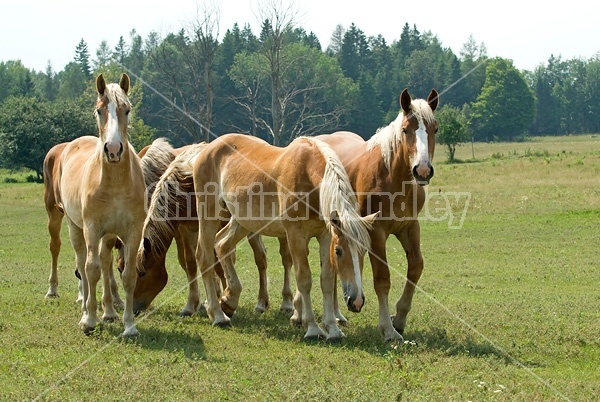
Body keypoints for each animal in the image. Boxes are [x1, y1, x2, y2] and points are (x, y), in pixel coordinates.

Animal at [52, 73, 146, 336]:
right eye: (99, 110)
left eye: (127, 109)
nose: (113, 150)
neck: (115, 182)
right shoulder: (92, 228)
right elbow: (91, 270)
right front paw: (89, 320)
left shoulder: (133, 231)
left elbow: (128, 275)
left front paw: (129, 325)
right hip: (76, 228)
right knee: (83, 265)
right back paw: (86, 309)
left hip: (109, 235)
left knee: (105, 264)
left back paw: (110, 312)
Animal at [135, 144, 296, 318]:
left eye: (142, 273)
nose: (135, 308)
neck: (186, 185)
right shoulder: (186, 229)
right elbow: (191, 263)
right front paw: (192, 305)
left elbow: (220, 263)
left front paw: (225, 301)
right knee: (261, 258)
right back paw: (261, 303)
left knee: (283, 258)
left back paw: (286, 303)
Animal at [316, 88, 438, 342]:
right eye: (405, 129)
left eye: (435, 129)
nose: (422, 170)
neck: (392, 177)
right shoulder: (376, 232)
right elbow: (382, 279)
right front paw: (388, 329)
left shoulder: (409, 227)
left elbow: (416, 267)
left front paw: (399, 318)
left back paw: (338, 316)